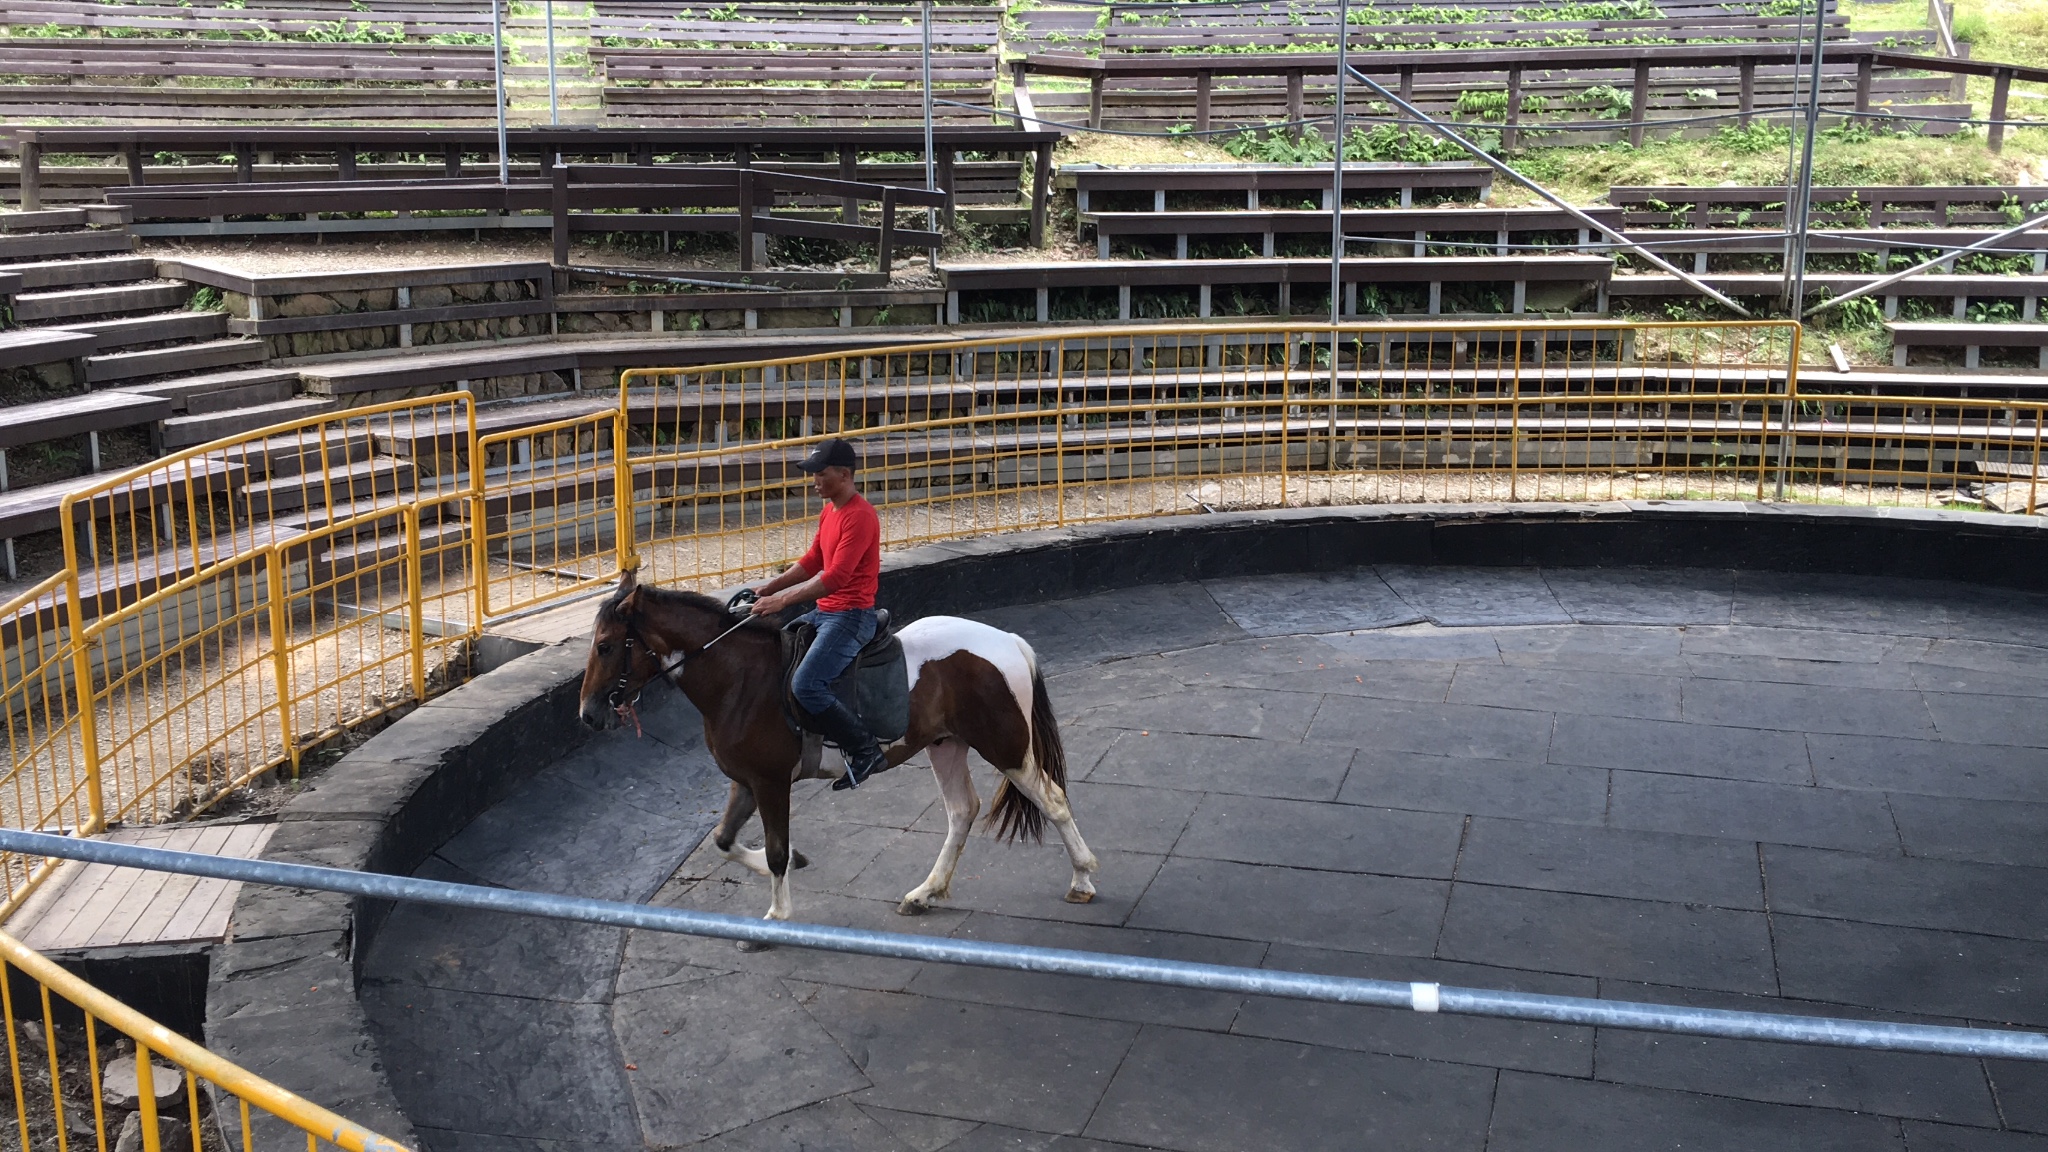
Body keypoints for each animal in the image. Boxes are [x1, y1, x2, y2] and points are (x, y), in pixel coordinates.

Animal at [577, 565, 1105, 934]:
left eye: (605, 646)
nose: (588, 714)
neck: (740, 679)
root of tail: (1008, 643)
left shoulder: (771, 783)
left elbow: (774, 850)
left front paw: (777, 916)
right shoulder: (745, 781)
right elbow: (724, 842)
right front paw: (795, 863)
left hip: (1005, 745)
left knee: (1053, 800)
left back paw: (1082, 878)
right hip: (946, 744)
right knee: (962, 811)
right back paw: (926, 892)